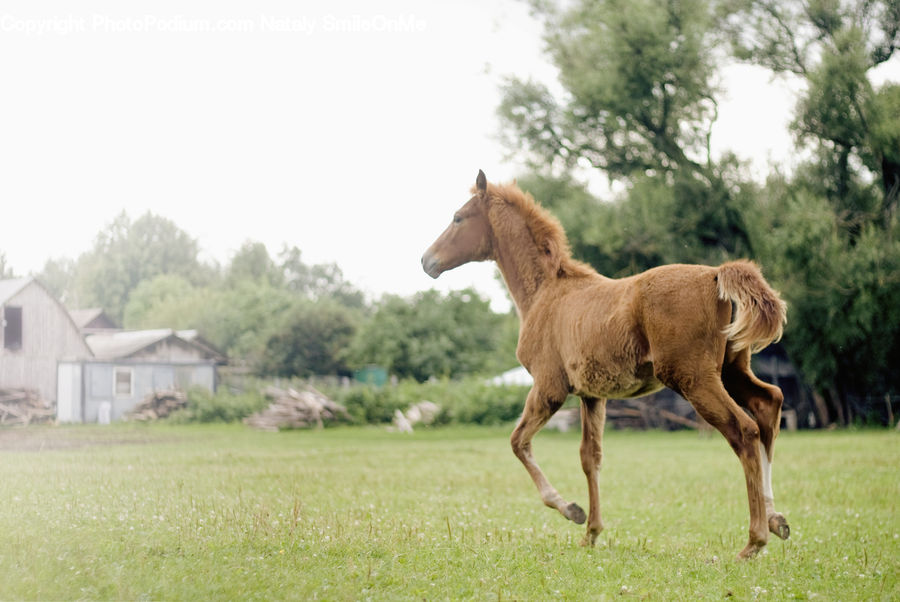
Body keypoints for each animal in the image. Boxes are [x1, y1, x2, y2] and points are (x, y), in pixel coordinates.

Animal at [421, 170, 790, 559]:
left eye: (458, 218)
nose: (427, 261)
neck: (546, 293)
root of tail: (716, 275)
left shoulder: (549, 387)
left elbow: (518, 441)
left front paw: (571, 510)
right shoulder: (592, 395)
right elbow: (590, 457)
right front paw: (592, 532)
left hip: (694, 378)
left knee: (744, 430)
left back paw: (754, 540)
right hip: (731, 370)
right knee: (768, 404)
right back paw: (775, 518)